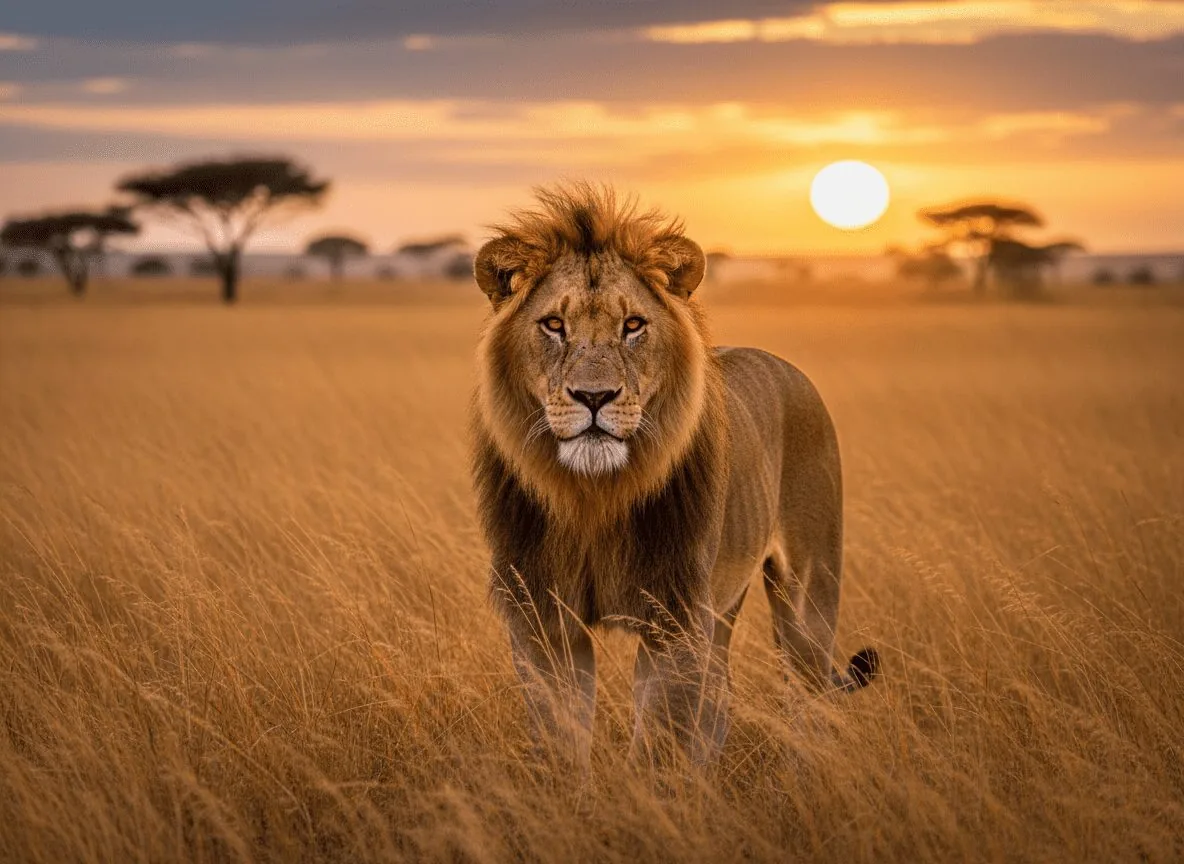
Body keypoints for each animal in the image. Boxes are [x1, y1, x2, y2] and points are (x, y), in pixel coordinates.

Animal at [470, 184, 877, 765]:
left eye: (633, 325)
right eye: (553, 325)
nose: (594, 397)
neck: (594, 495)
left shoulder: (675, 619)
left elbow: (659, 741)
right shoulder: (542, 617)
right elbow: (560, 737)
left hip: (807, 593)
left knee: (809, 695)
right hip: (723, 605)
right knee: (720, 697)